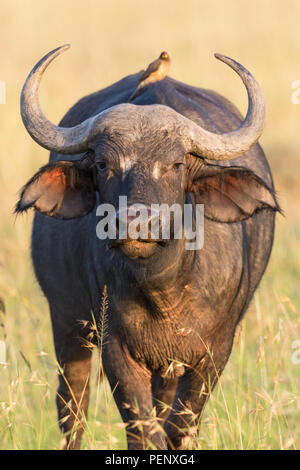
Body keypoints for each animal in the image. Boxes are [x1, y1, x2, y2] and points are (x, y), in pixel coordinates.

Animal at [16, 46, 278, 450]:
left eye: (175, 164)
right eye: (103, 164)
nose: (136, 224)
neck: (162, 291)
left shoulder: (215, 350)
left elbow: (179, 426)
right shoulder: (113, 346)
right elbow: (143, 429)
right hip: (66, 324)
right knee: (72, 405)